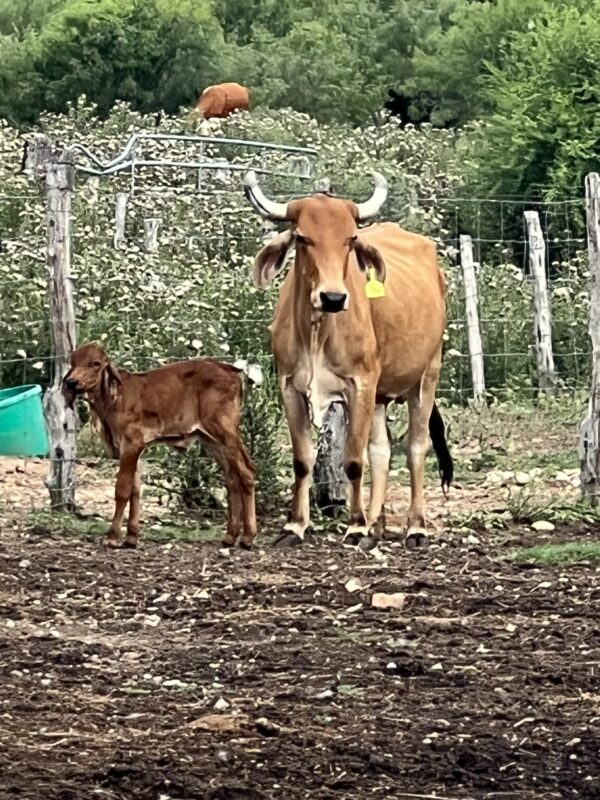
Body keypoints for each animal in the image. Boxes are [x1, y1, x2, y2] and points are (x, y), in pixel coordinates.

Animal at [62, 344, 256, 552]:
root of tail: (230, 370)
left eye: (96, 363)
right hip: (212, 441)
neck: (112, 402)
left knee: (246, 472)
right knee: (232, 478)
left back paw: (248, 537)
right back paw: (230, 536)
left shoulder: (131, 444)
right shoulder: (133, 450)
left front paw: (112, 537)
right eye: (73, 362)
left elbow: (122, 490)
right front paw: (131, 537)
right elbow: (135, 490)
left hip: (226, 432)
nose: (72, 382)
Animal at [243, 173, 450, 552]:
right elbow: (302, 460)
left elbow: (353, 460)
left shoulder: (361, 385)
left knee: (415, 448)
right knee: (382, 452)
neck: (318, 330)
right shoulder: (289, 388)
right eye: (302, 237)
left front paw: (355, 526)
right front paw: (295, 525)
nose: (333, 297)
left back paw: (414, 526)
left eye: (350, 239)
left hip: (426, 377)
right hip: (382, 396)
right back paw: (376, 522)